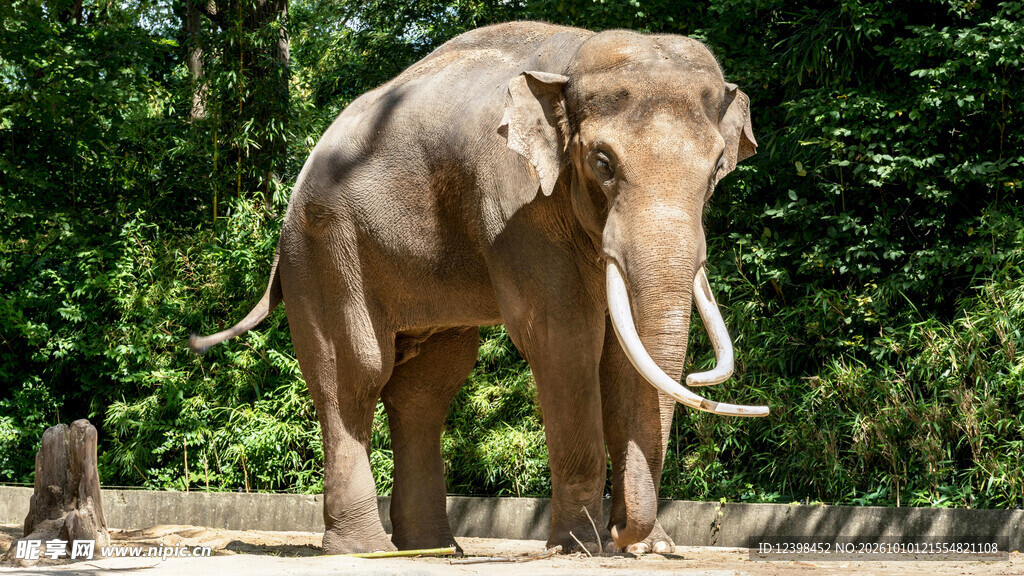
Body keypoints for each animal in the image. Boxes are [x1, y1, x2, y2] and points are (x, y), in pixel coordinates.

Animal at [190, 21, 768, 555]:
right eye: (603, 162)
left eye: (717, 168)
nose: (625, 533)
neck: (570, 62)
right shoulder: (515, 203)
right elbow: (565, 339)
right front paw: (580, 547)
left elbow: (622, 357)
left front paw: (651, 549)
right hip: (324, 250)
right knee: (353, 373)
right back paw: (366, 549)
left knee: (428, 385)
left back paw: (433, 549)